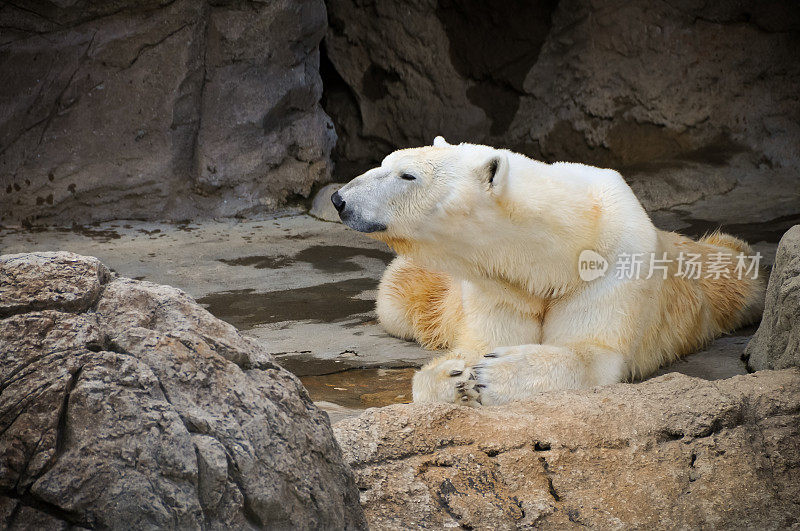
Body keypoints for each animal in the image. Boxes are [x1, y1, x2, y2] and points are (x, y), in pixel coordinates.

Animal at [328, 137, 764, 408]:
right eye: (384, 163)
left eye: (408, 175)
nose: (338, 198)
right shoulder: (498, 284)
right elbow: (482, 340)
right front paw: (454, 375)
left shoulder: (615, 266)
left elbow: (592, 355)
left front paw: (493, 373)